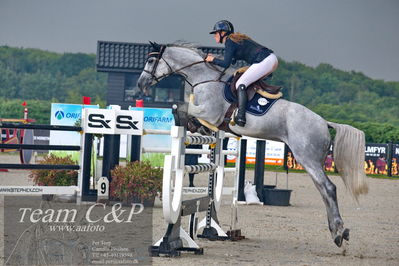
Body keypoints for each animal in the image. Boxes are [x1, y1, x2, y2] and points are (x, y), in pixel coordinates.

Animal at [138, 41, 368, 247]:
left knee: (328, 188)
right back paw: (336, 231)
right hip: (312, 161)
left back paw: (339, 232)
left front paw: (184, 118)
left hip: (306, 158)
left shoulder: (209, 112)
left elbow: (182, 107)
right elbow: (194, 119)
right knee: (323, 190)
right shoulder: (210, 118)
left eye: (151, 60)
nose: (141, 84)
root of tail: (324, 122)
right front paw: (196, 127)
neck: (205, 79)